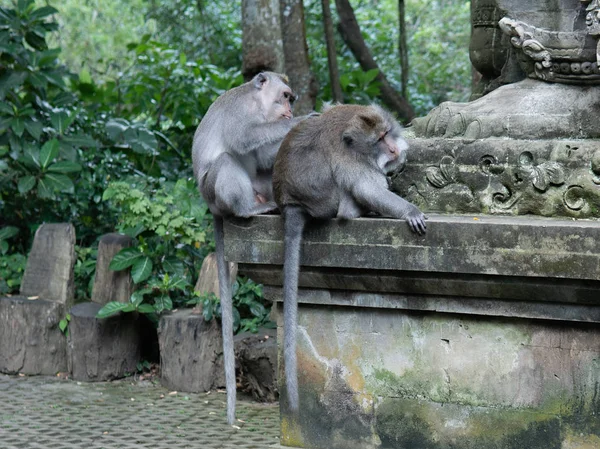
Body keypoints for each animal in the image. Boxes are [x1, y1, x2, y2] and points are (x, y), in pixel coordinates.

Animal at [193, 70, 300, 424]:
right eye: (285, 96)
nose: (290, 110)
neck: (259, 107)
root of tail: (211, 207)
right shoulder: (240, 113)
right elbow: (241, 138)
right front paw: (303, 121)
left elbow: (264, 155)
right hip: (215, 192)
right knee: (227, 160)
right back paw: (246, 211)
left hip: (259, 187)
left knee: (266, 167)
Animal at [272, 102, 426, 410]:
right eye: (379, 140)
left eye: (387, 133)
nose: (393, 149)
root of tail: (289, 202)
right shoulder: (351, 159)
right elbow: (368, 187)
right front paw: (410, 211)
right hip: (325, 202)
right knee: (347, 197)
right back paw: (353, 211)